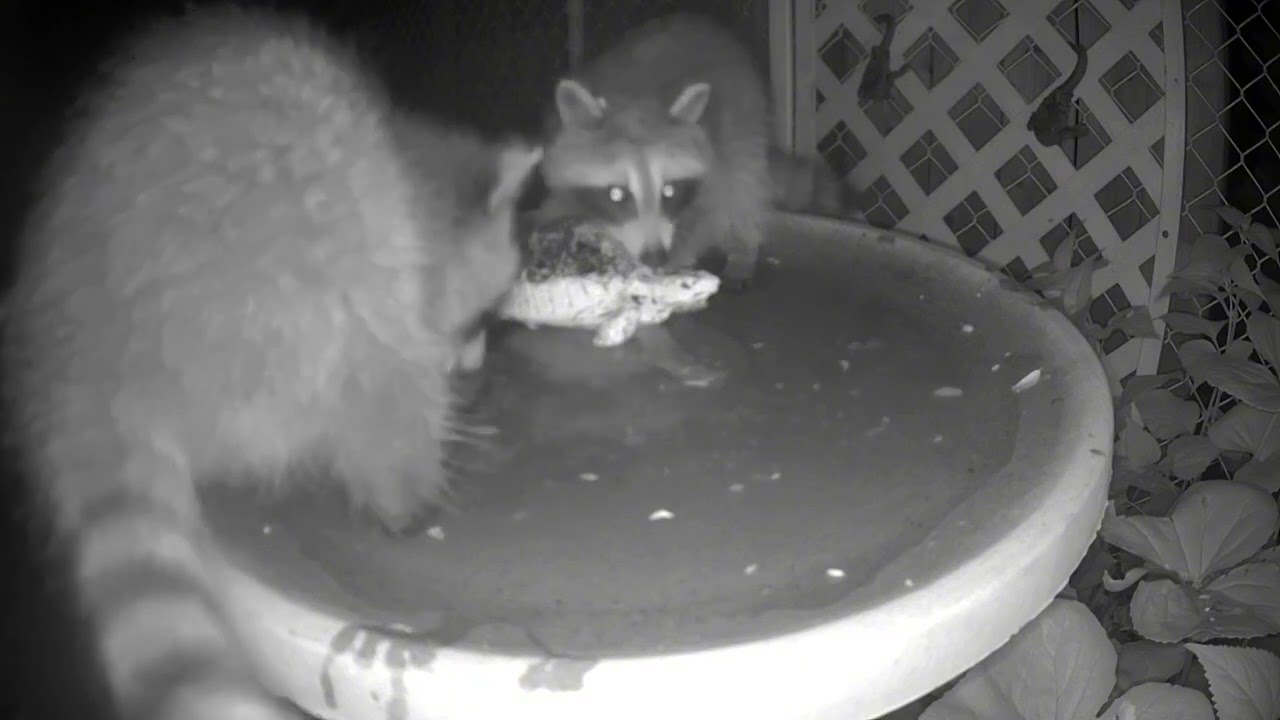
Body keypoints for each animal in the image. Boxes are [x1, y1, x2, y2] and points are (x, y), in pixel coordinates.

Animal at [1, 6, 539, 720]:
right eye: (478, 319)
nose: (474, 364)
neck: (404, 159)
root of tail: (90, 358)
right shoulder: (387, 263)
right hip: (286, 290)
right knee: (370, 384)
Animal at [537, 12, 859, 289]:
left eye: (669, 191)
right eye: (617, 194)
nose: (655, 258)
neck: (632, 103)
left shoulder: (712, 167)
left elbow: (705, 216)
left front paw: (666, 271)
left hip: (744, 116)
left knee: (745, 187)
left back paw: (744, 247)